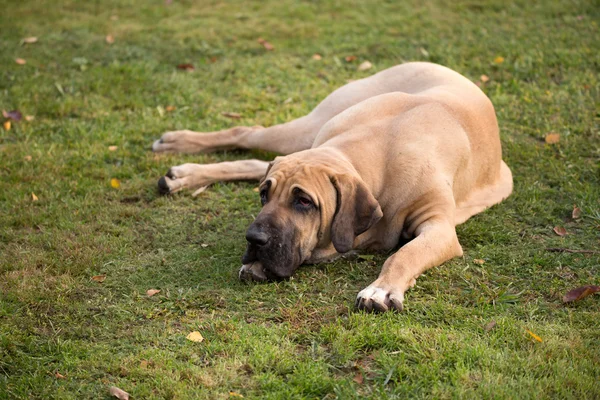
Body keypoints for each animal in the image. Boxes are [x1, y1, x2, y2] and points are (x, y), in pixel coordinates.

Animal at [151, 62, 510, 312]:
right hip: (309, 127)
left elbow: (405, 253)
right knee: (246, 133)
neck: (379, 149)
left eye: (304, 201)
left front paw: (381, 289)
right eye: (265, 196)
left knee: (253, 159)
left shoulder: (439, 228)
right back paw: (178, 151)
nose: (254, 239)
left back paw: (182, 174)